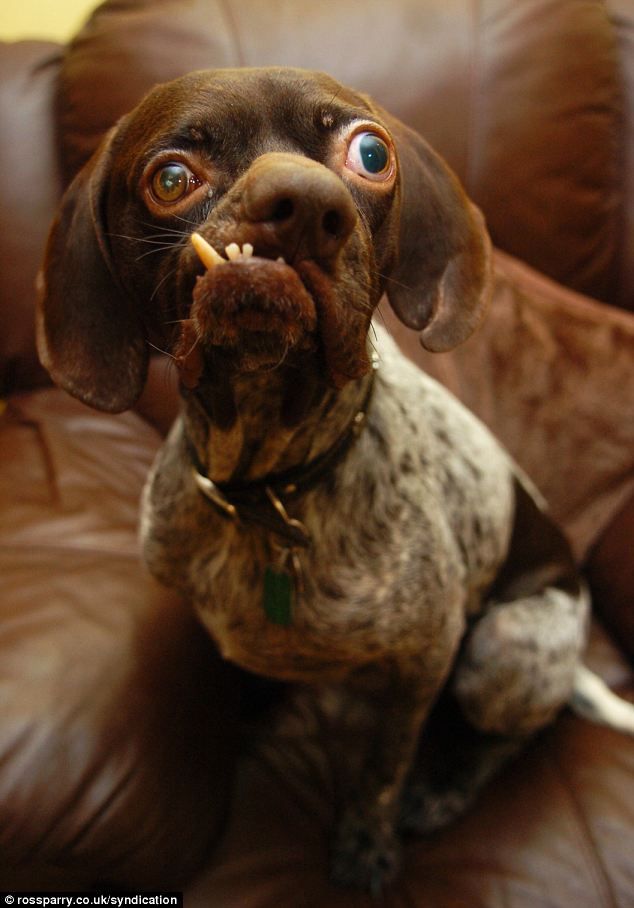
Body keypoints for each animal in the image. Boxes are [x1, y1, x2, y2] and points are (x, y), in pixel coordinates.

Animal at [34, 67, 632, 892]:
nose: (306, 205)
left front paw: (367, 841)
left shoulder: (427, 659)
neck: (268, 490)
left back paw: (447, 784)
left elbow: (383, 766)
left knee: (520, 733)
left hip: (503, 645)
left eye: (371, 153)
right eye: (171, 177)